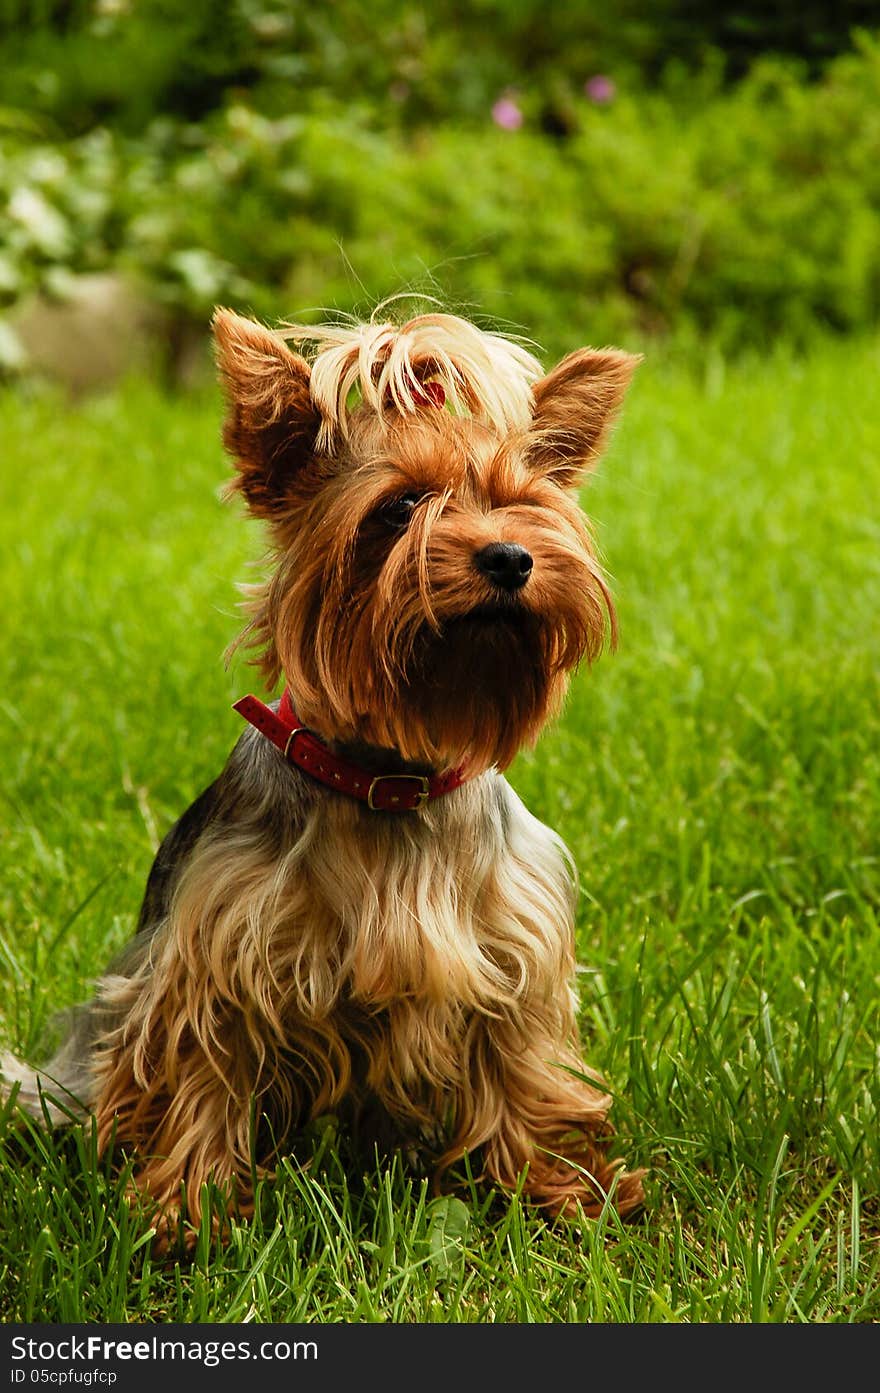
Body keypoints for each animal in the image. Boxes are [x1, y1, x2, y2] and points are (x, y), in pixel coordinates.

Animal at [3, 305, 643, 1242]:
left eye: (524, 505)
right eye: (402, 505)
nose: (510, 558)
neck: (390, 778)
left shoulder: (512, 950)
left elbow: (521, 1066)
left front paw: (559, 1188)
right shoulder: (220, 951)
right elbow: (208, 1068)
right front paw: (187, 1209)